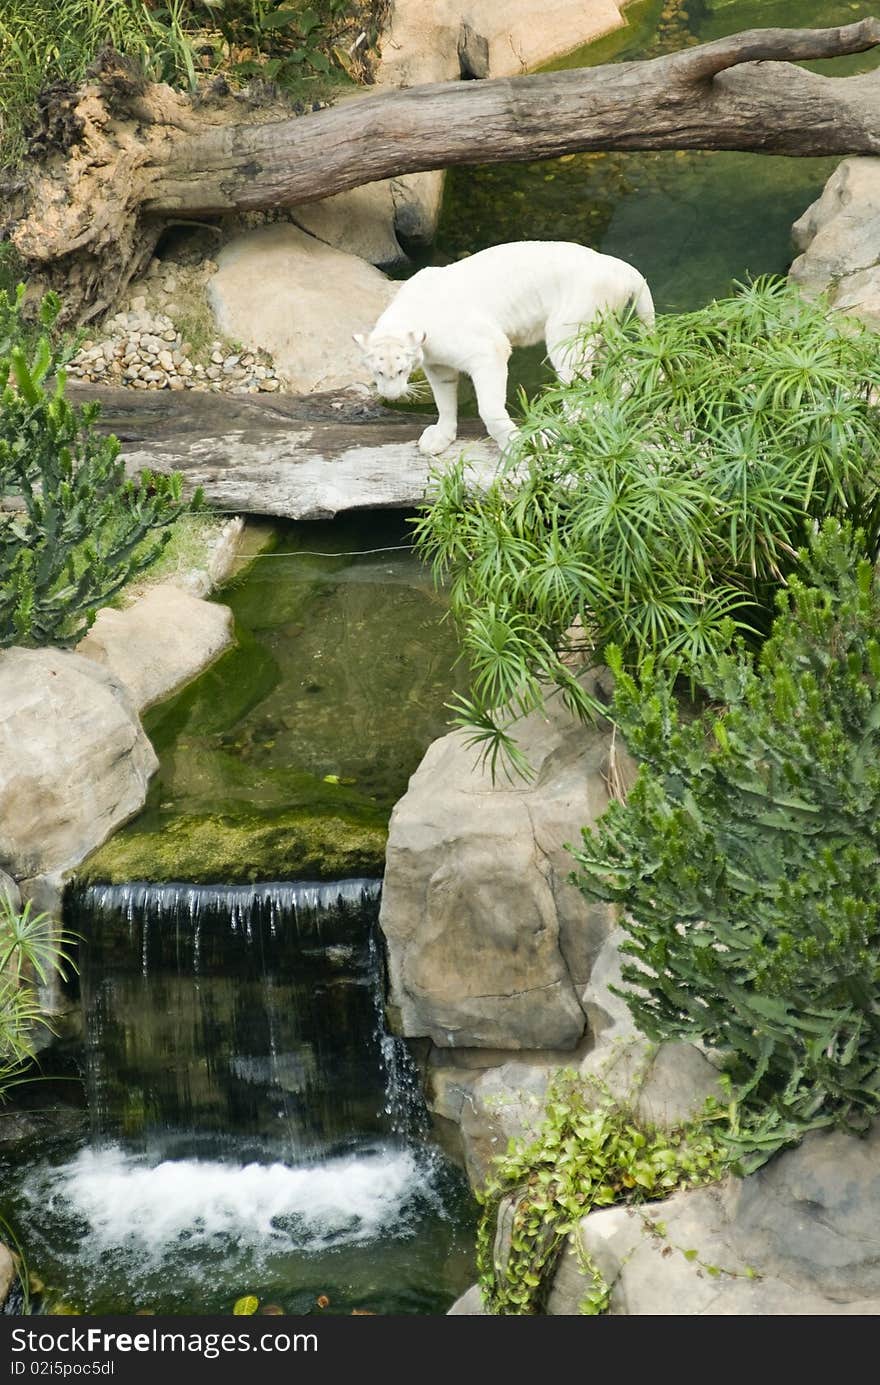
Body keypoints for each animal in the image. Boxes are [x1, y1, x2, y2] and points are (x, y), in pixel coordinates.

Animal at [357, 239, 654, 454]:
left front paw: (517, 445)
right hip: (600, 328)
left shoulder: (487, 349)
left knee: (579, 389)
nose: (391, 394)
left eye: (400, 370)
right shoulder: (438, 364)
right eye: (378, 372)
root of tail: (622, 266)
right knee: (622, 363)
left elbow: (489, 407)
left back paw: (555, 431)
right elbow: (444, 398)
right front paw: (438, 438)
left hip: (570, 328)